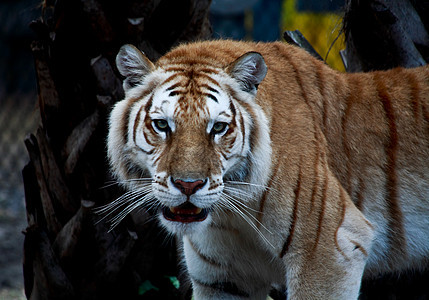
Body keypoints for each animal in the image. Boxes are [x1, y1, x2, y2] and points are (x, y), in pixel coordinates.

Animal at [104, 40, 428, 300]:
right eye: (162, 125)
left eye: (218, 128)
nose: (188, 185)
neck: (230, 214)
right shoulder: (222, 279)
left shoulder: (329, 250)